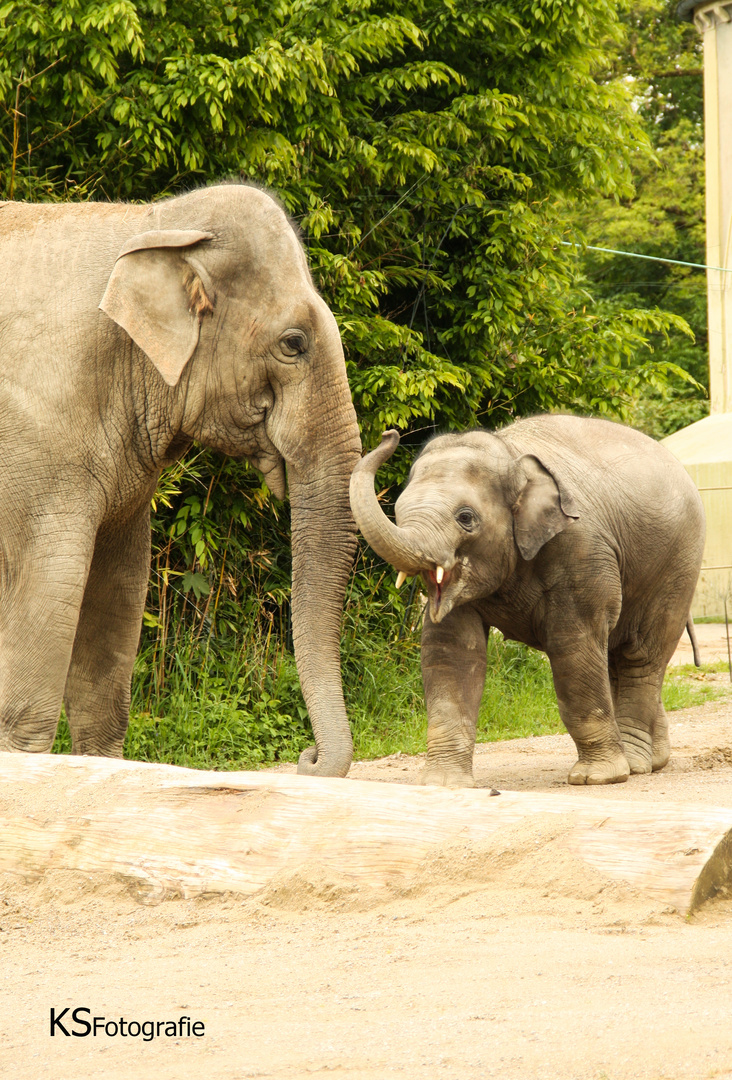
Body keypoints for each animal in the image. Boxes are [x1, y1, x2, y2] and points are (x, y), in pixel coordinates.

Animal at [0, 185, 362, 777]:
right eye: (294, 343)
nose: (307, 758)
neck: (152, 223)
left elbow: (119, 590)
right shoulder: (38, 442)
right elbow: (51, 592)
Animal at [349, 412, 703, 786]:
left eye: (466, 518)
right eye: (399, 510)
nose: (389, 434)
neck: (511, 454)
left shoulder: (582, 549)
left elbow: (572, 647)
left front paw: (596, 778)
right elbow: (451, 652)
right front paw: (443, 784)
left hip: (678, 565)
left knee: (640, 657)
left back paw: (634, 764)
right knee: (614, 656)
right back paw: (654, 760)